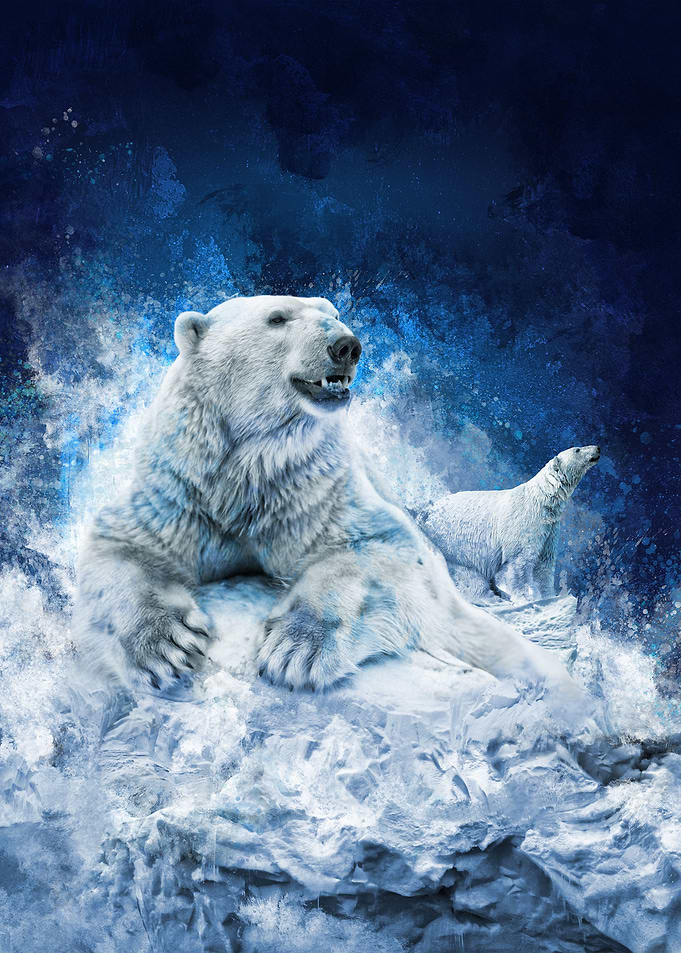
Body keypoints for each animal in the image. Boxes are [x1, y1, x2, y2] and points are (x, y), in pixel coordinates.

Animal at [73, 295, 578, 699]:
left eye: (333, 313)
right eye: (277, 318)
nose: (346, 345)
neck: (249, 468)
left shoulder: (315, 489)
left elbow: (371, 549)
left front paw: (296, 649)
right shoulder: (182, 488)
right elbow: (122, 544)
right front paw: (164, 646)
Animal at [421, 446, 601, 604]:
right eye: (577, 450)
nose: (598, 448)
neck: (541, 500)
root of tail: (427, 511)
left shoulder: (550, 529)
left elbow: (544, 563)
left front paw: (548, 595)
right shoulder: (526, 523)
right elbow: (520, 561)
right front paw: (526, 597)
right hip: (454, 545)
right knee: (469, 576)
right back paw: (493, 598)